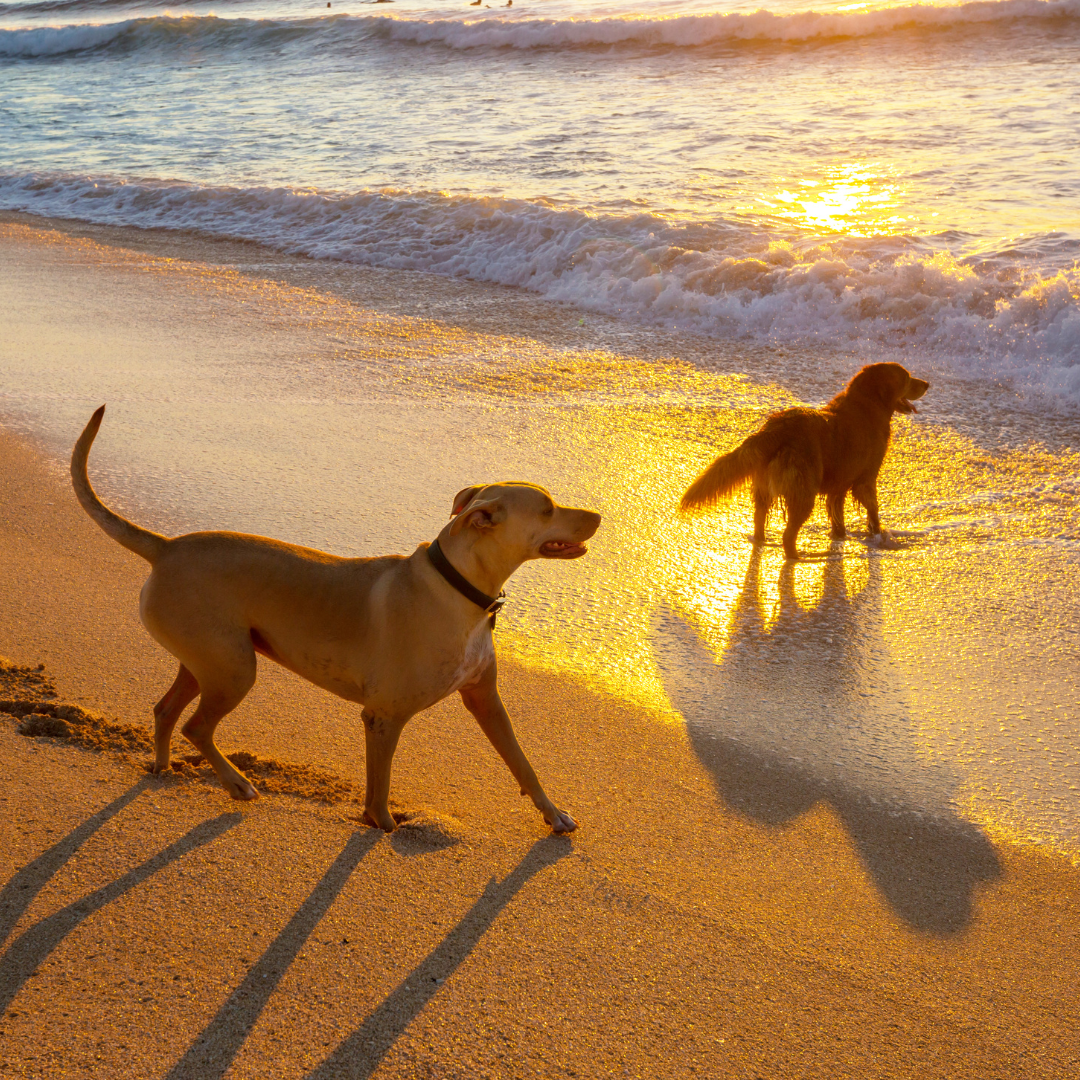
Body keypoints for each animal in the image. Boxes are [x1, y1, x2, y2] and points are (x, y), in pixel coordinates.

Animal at [71, 406, 604, 833]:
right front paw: (383, 825)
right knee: (196, 727)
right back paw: (238, 784)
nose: (600, 515)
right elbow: (380, 784)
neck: (458, 587)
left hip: (209, 659)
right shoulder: (384, 717)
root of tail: (166, 547)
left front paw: (553, 813)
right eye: (548, 508)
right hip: (234, 670)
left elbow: (522, 762)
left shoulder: (486, 700)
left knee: (166, 711)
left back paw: (161, 766)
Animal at [682, 367, 928, 561]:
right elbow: (873, 510)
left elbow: (838, 516)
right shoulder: (866, 479)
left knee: (759, 519)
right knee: (788, 534)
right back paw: (799, 557)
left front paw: (841, 535)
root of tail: (773, 429)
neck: (868, 403)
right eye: (907, 377)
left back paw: (764, 542)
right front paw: (879, 535)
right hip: (803, 490)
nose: (927, 383)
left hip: (765, 487)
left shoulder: (838, 486)